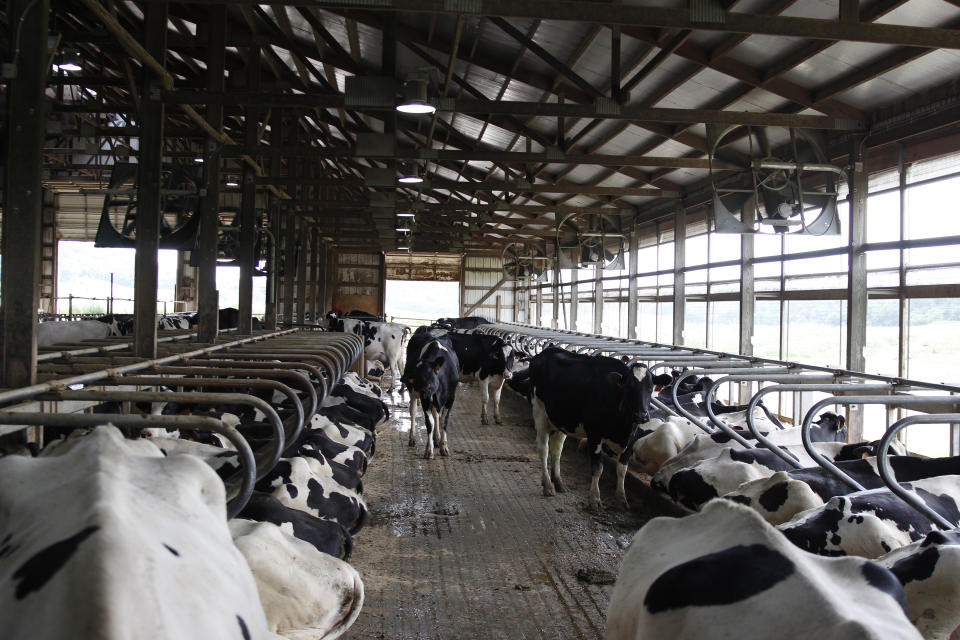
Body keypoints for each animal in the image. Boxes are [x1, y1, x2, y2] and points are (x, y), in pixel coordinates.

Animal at [528, 344, 656, 510]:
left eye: (651, 388)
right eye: (628, 388)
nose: (641, 415)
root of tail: (547, 351)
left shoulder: (631, 440)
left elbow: (622, 470)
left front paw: (622, 499)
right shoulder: (595, 435)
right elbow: (597, 468)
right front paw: (595, 499)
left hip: (561, 419)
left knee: (557, 448)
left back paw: (558, 482)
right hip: (540, 411)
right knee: (543, 448)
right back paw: (548, 485)